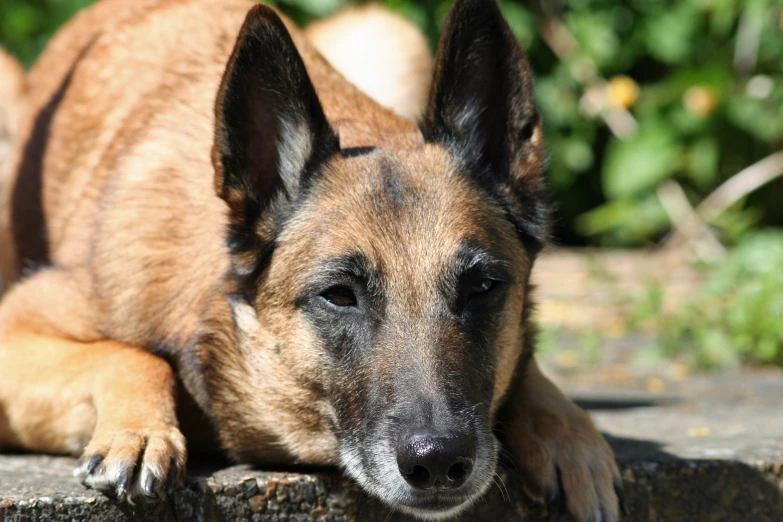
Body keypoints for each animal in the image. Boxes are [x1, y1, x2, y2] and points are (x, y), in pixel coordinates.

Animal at [0, 1, 624, 516]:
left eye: (482, 288)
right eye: (339, 296)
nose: (438, 461)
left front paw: (567, 434)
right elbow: (130, 355)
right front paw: (140, 430)